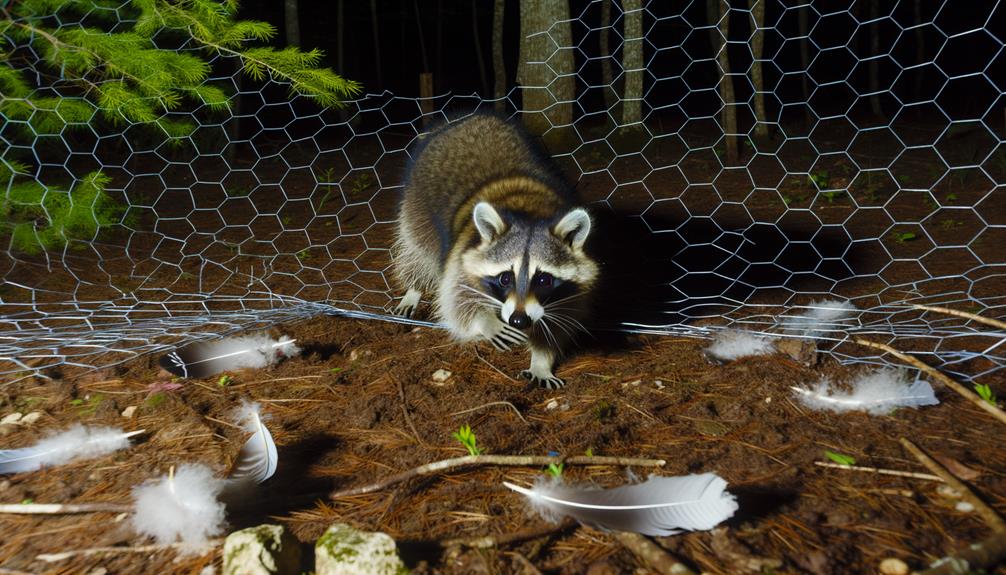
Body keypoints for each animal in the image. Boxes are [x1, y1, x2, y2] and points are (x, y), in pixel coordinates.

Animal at [390, 114, 595, 388]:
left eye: (544, 280)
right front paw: (485, 321)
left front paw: (542, 360)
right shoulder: (464, 250)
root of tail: (466, 118)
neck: (530, 208)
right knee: (419, 249)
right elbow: (456, 297)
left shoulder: (570, 289)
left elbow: (558, 320)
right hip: (418, 201)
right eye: (505, 278)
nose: (519, 321)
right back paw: (414, 288)